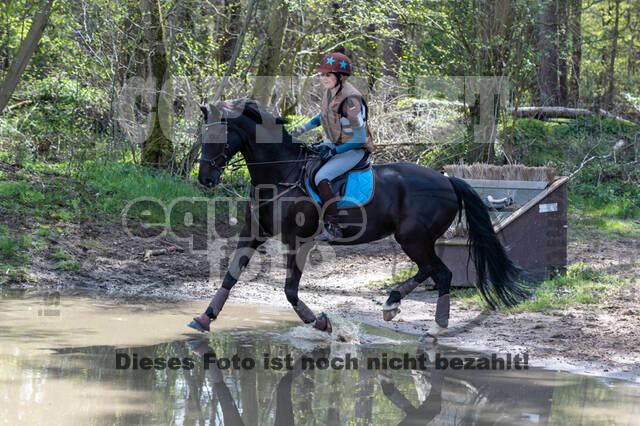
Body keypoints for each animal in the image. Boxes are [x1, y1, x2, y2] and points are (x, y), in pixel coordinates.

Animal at [188, 98, 528, 338]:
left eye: (219, 136)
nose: (205, 179)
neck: (280, 172)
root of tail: (448, 181)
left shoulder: (298, 241)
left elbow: (290, 290)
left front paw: (321, 323)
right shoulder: (253, 232)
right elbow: (231, 275)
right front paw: (205, 318)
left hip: (413, 238)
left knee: (441, 273)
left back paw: (435, 327)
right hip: (415, 239)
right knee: (429, 270)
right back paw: (392, 304)